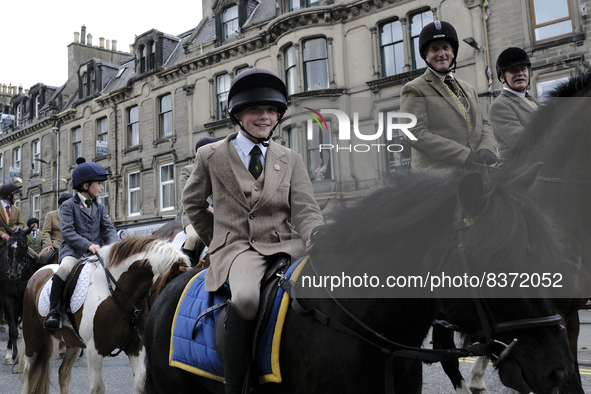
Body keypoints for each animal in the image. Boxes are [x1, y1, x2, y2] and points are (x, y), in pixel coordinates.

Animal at [0, 226, 35, 364]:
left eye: (24, 246)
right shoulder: (6, 299)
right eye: (9, 246)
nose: (13, 274)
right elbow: (13, 328)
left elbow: (14, 324)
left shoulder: (20, 301)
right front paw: (11, 355)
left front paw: (12, 352)